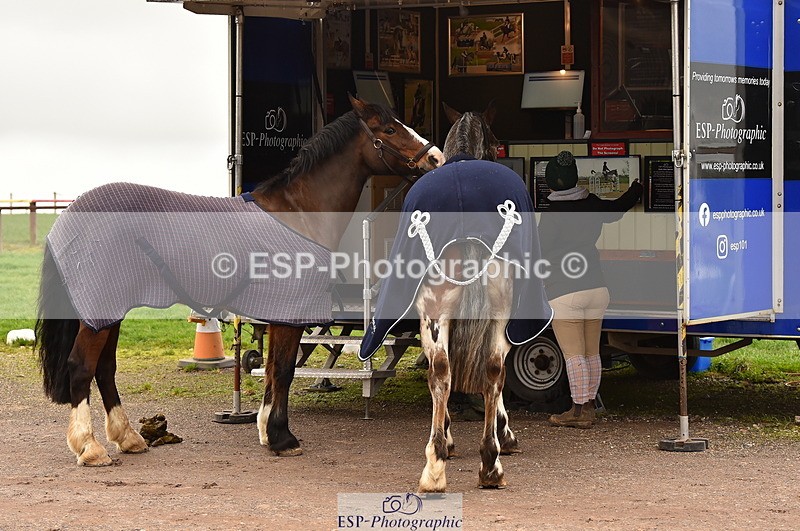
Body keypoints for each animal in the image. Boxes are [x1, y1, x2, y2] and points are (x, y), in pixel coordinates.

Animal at [35, 94, 444, 466]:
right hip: (100, 312)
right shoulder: (290, 312)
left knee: (105, 370)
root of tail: (69, 216)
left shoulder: (280, 314)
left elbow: (277, 370)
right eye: (389, 129)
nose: (436, 158)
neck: (299, 213)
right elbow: (283, 370)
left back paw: (128, 438)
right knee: (81, 367)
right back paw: (90, 448)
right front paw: (282, 438)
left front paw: (266, 431)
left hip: (110, 312)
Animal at [358, 102, 552, 491]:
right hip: (487, 314)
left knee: (454, 371)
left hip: (441, 315)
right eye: (495, 141)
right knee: (479, 371)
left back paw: (449, 463)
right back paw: (478, 459)